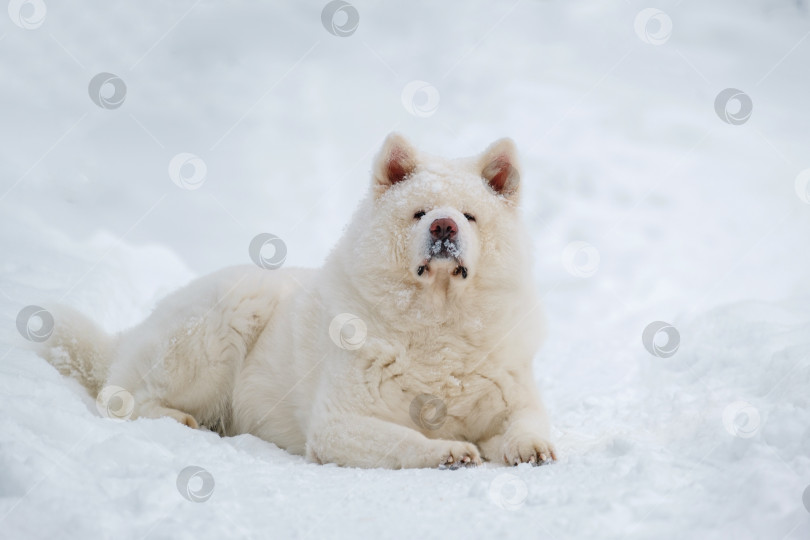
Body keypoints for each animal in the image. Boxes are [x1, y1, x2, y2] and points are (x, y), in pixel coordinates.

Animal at [38, 134, 556, 468]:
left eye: (469, 216)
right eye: (419, 213)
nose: (444, 227)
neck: (438, 321)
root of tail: (129, 336)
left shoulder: (514, 397)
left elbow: (528, 422)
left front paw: (529, 449)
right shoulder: (337, 424)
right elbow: (403, 439)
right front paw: (446, 451)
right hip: (230, 311)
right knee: (123, 397)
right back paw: (183, 421)